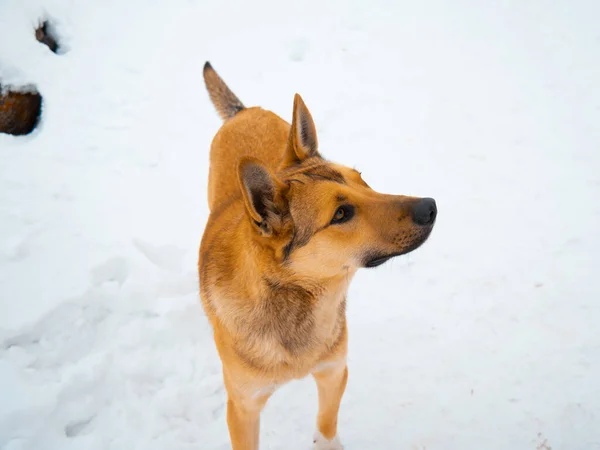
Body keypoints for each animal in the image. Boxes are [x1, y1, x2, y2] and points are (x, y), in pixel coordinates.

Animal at [199, 61, 438, 448]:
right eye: (340, 214)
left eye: (361, 179)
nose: (430, 207)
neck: (298, 301)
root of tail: (244, 111)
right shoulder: (242, 407)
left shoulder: (333, 370)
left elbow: (326, 424)